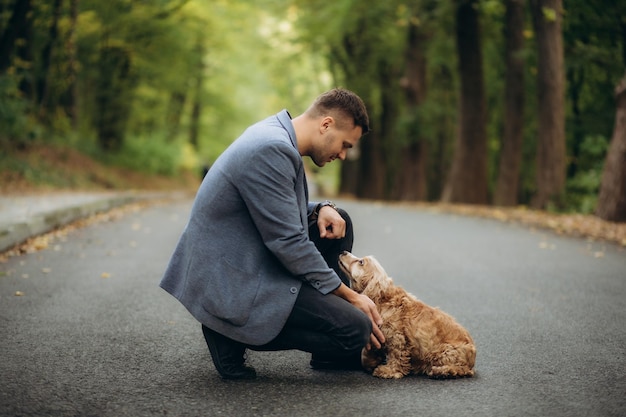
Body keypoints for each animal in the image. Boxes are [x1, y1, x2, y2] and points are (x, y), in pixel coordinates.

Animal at [338, 252, 476, 378]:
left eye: (361, 262)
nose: (343, 252)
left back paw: (441, 371)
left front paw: (389, 371)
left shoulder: (396, 336)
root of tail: (473, 357)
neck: (382, 298)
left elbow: (396, 355)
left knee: (462, 369)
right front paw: (371, 362)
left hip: (443, 352)